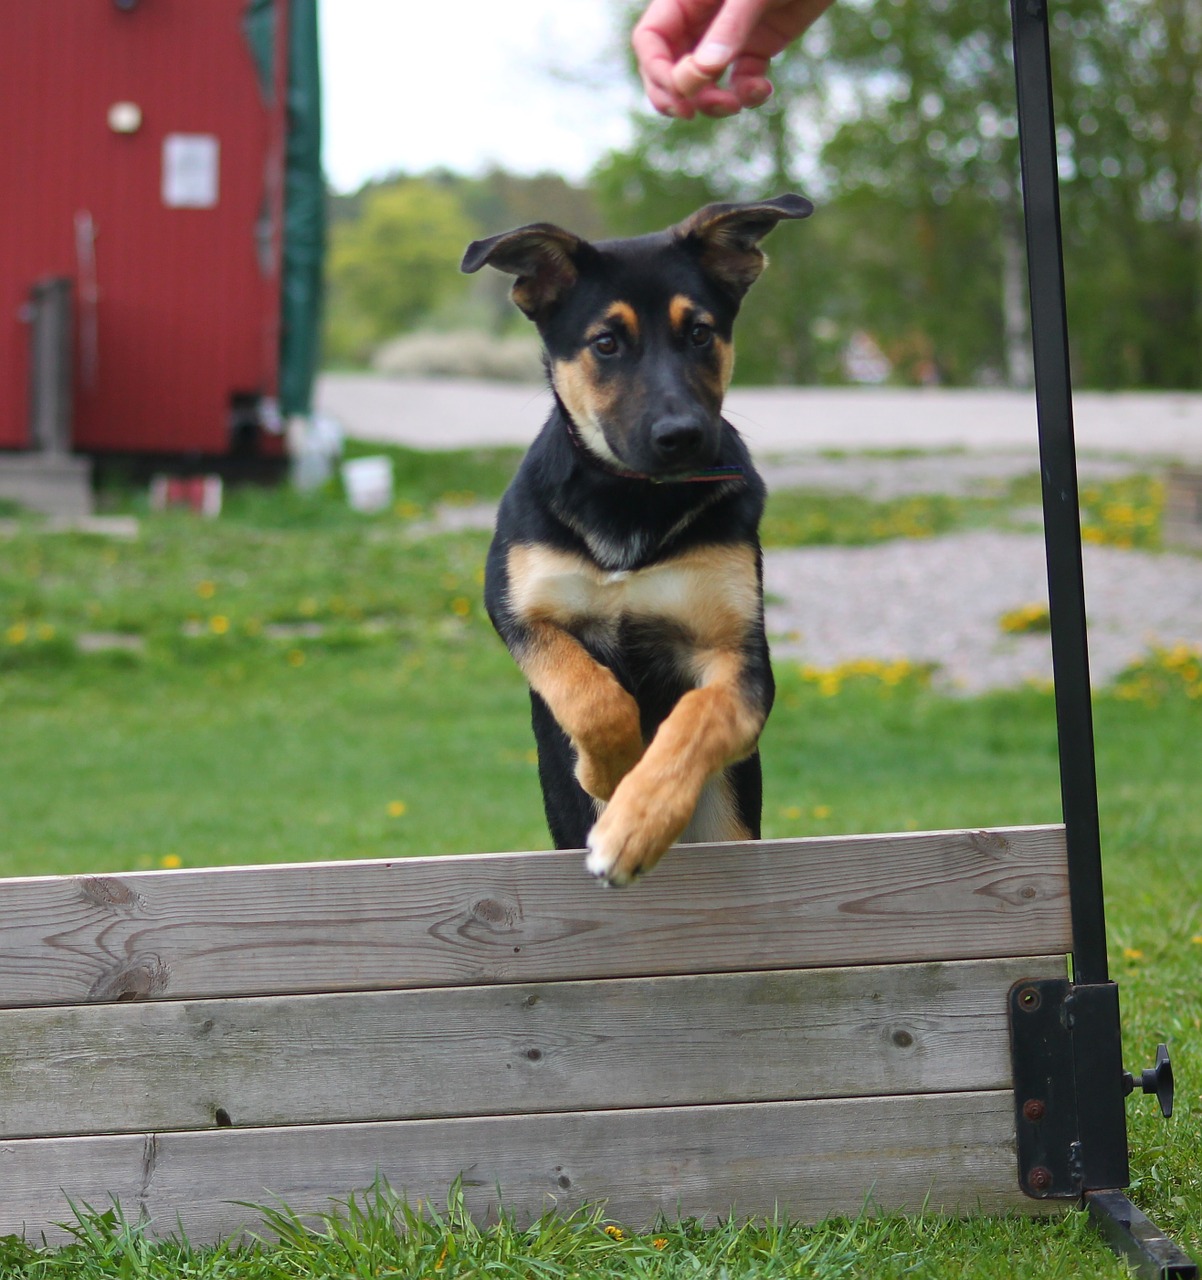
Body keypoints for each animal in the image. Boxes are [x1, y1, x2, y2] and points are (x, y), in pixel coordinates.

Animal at [465, 194, 814, 885]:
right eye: (606, 343)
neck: (632, 502)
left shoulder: (740, 657)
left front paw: (633, 824)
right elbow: (592, 695)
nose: (682, 436)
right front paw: (607, 771)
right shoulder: (520, 610)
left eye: (700, 333)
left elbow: (693, 720)